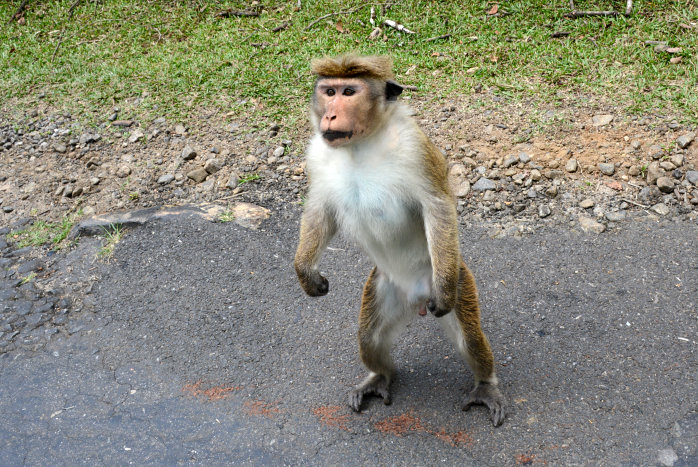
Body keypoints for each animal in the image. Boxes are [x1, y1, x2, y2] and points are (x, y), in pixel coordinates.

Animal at [290, 54, 502, 428]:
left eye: (349, 92)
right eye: (329, 91)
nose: (330, 114)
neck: (361, 145)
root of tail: (415, 298)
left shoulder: (414, 148)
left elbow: (437, 206)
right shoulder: (316, 152)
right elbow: (320, 210)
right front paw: (306, 272)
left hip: (454, 279)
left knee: (470, 339)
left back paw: (485, 384)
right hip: (384, 287)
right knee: (370, 338)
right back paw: (379, 377)